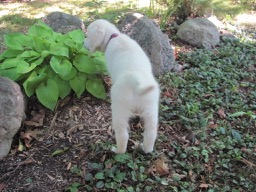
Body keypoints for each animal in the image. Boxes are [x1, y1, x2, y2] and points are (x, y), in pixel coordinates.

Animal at [85, 19, 159, 154]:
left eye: (87, 36)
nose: (83, 43)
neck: (114, 36)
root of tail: (135, 79)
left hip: (119, 110)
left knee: (123, 136)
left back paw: (117, 150)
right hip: (151, 108)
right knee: (151, 133)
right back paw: (145, 148)